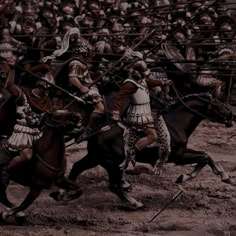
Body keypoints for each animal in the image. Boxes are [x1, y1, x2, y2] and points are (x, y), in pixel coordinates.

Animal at [52, 92, 235, 208]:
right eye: (218, 104)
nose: (231, 115)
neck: (176, 124)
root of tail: (96, 130)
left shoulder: (181, 153)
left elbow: (206, 156)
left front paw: (188, 176)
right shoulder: (178, 156)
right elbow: (204, 156)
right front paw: (189, 176)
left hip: (95, 157)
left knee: (77, 167)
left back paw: (64, 193)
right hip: (111, 163)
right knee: (113, 185)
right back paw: (135, 203)